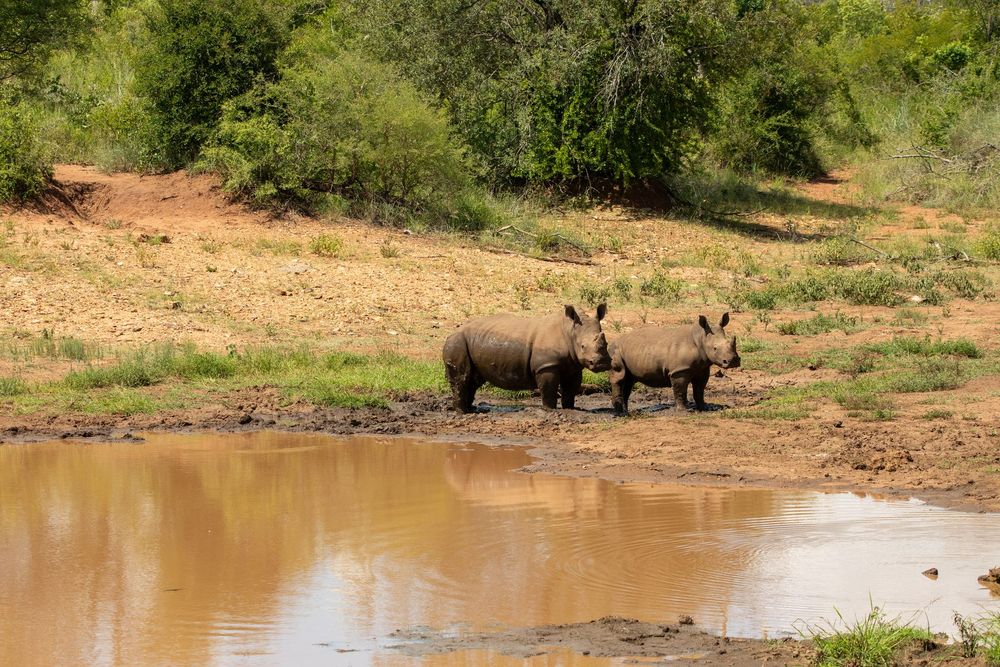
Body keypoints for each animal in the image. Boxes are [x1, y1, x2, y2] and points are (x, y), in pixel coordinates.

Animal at [443, 304, 611, 413]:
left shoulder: (573, 366)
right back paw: (463, 412)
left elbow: (570, 389)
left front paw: (570, 408)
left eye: (606, 343)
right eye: (582, 346)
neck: (569, 332)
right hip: (457, 342)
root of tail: (451, 333)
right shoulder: (546, 365)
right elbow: (548, 390)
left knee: (473, 380)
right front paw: (550, 410)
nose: (601, 363)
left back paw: (471, 409)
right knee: (462, 378)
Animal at [609, 313, 740, 415]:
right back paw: (621, 413)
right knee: (620, 377)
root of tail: (613, 341)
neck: (700, 339)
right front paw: (684, 411)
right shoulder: (679, 370)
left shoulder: (702, 368)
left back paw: (625, 411)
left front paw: (705, 408)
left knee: (629, 381)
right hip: (615, 351)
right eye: (715, 348)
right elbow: (680, 390)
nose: (733, 361)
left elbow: (699, 390)